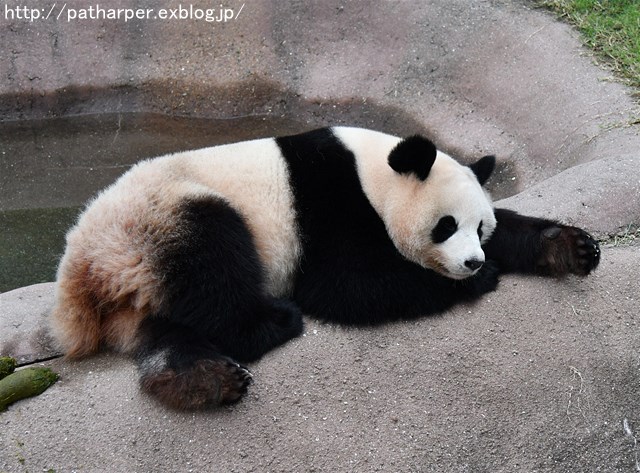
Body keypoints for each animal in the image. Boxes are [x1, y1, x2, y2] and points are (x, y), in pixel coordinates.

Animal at [50, 126, 600, 410]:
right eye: (445, 226)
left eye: (479, 226)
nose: (471, 262)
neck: (374, 170)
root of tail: (83, 274)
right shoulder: (329, 204)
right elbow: (346, 286)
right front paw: (479, 279)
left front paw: (569, 247)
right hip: (162, 218)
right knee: (214, 266)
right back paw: (273, 323)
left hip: (140, 284)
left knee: (167, 331)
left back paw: (199, 380)